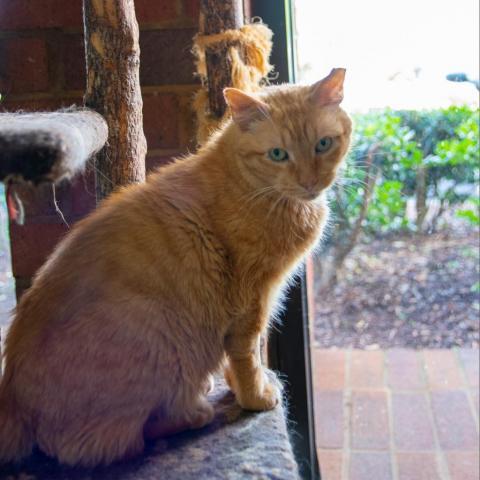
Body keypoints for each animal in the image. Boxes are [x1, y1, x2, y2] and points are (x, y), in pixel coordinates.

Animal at [0, 67, 352, 464]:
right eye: (278, 154)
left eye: (323, 144)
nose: (310, 182)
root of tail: (10, 398)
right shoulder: (251, 299)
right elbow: (247, 353)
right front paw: (255, 396)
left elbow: (236, 357)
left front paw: (237, 385)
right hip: (158, 334)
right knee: (114, 441)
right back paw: (197, 411)